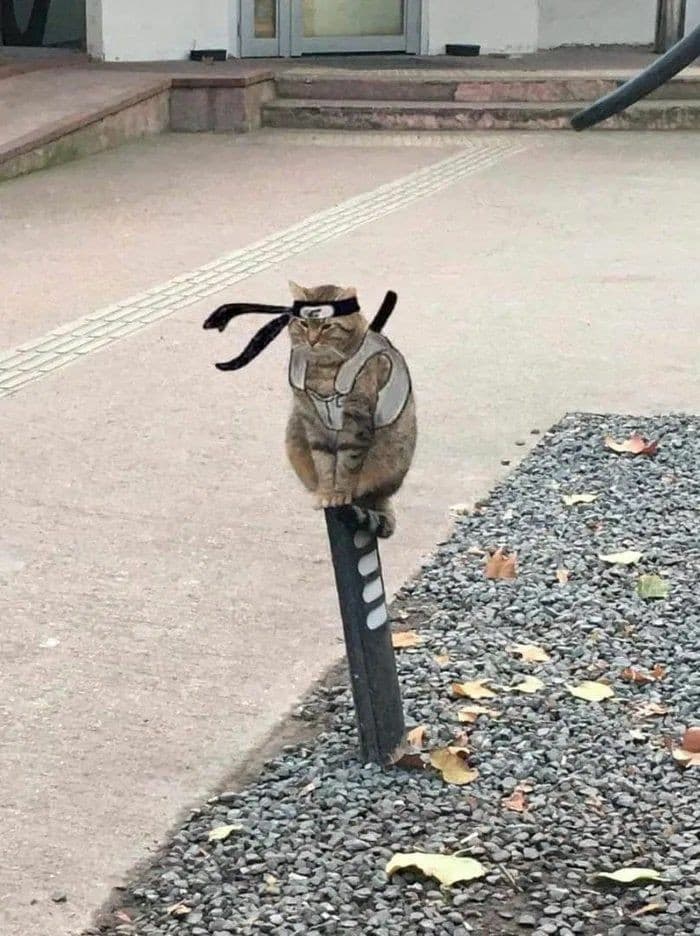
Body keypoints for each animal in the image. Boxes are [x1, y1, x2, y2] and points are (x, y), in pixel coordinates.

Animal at [284, 282, 416, 536]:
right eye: (304, 323)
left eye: (326, 326)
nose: (312, 340)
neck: (323, 370)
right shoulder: (310, 420)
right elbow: (324, 463)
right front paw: (326, 493)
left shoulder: (356, 418)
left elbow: (347, 463)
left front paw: (340, 493)